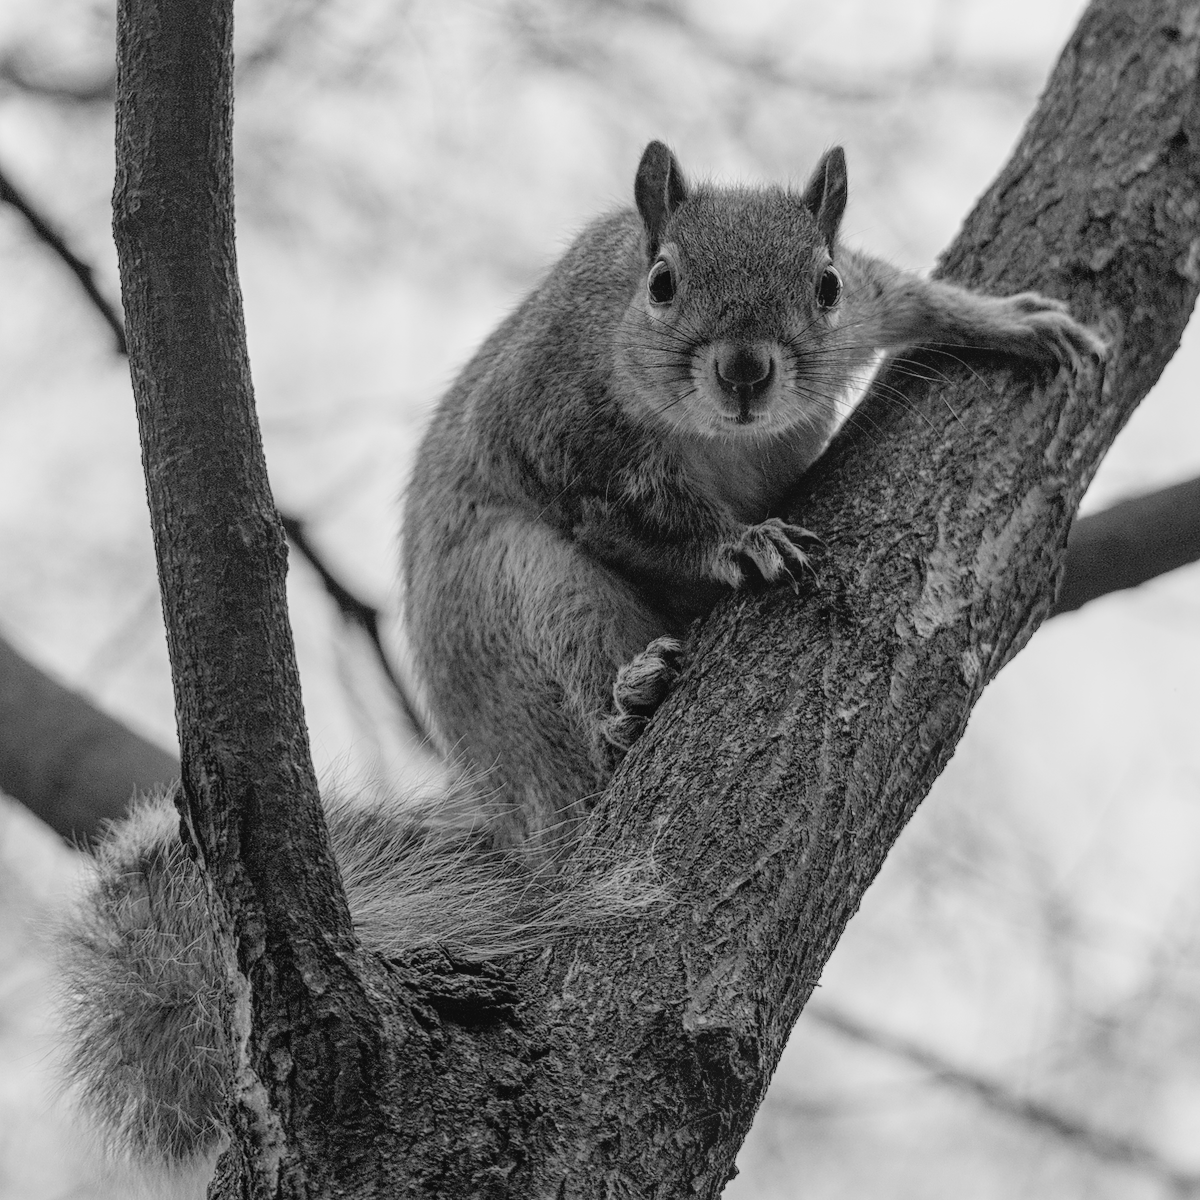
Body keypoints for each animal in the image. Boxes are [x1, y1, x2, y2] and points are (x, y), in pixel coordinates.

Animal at [56, 140, 1104, 1171]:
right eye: (663, 282)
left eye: (827, 283)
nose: (745, 370)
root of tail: (522, 801)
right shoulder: (562, 428)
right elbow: (642, 518)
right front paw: (736, 544)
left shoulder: (867, 307)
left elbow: (911, 294)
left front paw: (1011, 322)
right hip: (526, 595)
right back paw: (628, 707)